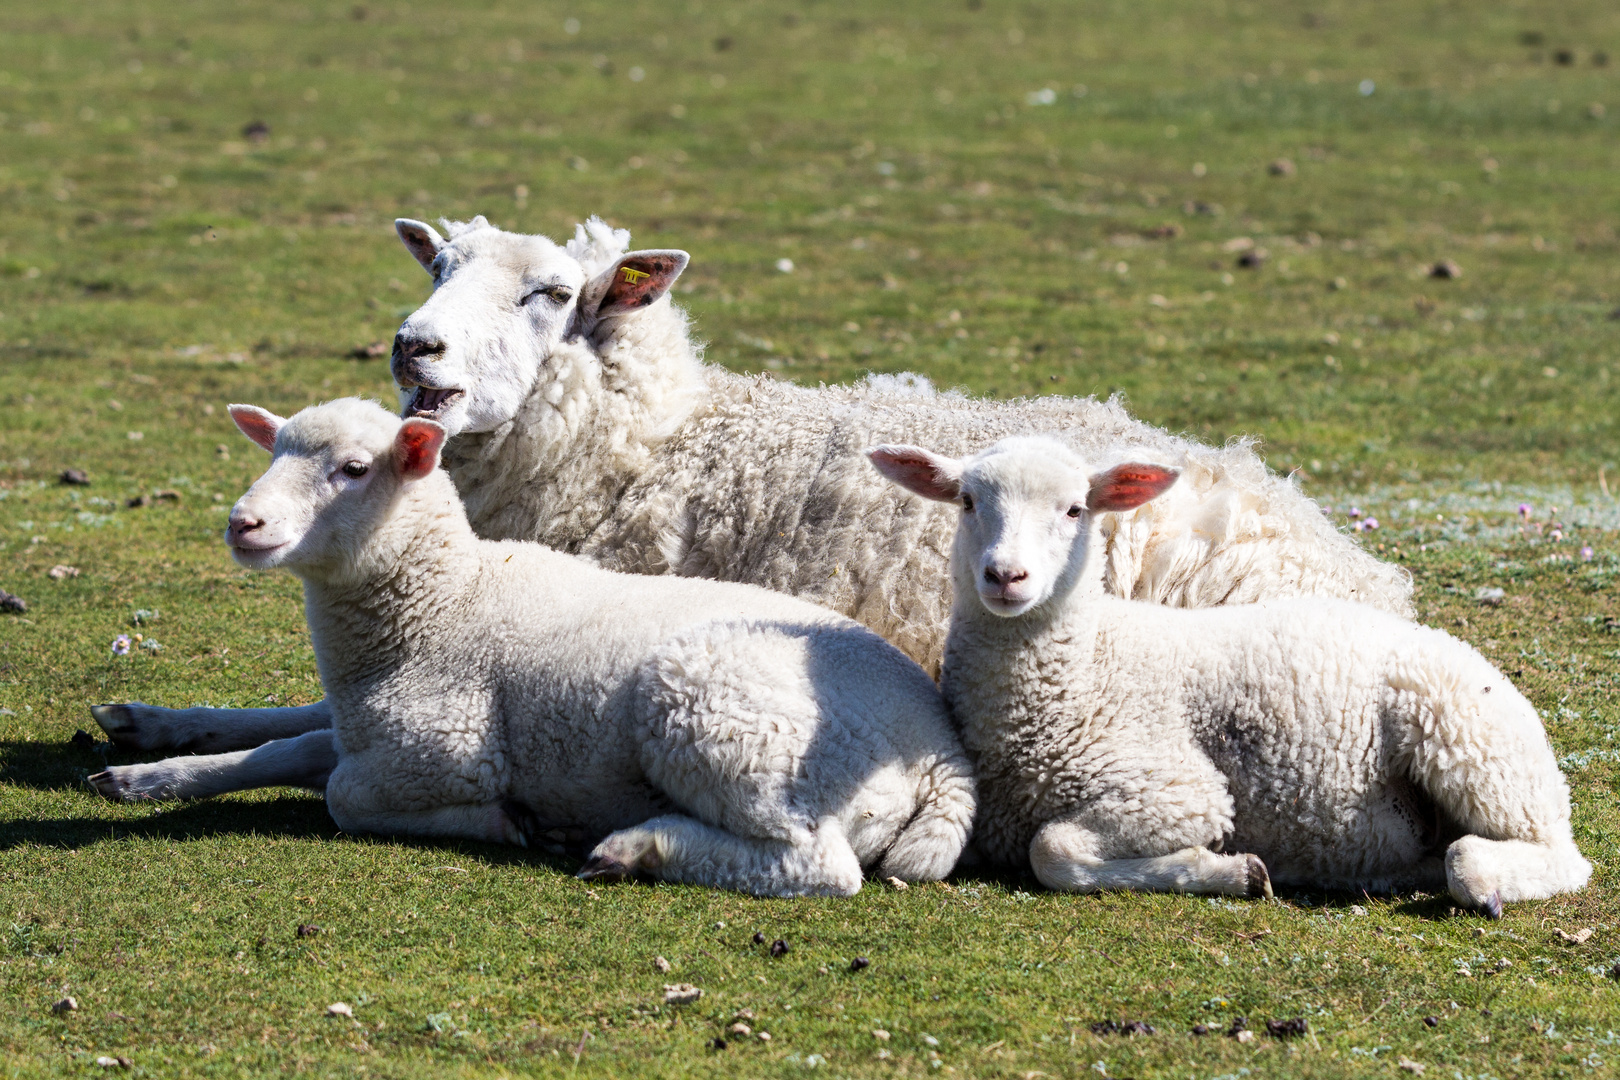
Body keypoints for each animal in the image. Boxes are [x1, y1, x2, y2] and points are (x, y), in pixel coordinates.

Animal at [94, 395, 972, 893]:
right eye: (274, 451)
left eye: (353, 469)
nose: (243, 524)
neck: (445, 599)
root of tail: (943, 754)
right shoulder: (364, 724)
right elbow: (286, 746)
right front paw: (144, 764)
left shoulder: (445, 748)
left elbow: (342, 794)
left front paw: (500, 821)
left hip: (723, 719)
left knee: (817, 865)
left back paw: (637, 848)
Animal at [874, 433, 1594, 919]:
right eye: (968, 501)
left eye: (1076, 509)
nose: (1006, 576)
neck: (1083, 667)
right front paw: (1235, 869)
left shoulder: (1174, 790)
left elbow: (1053, 852)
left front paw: (1225, 868)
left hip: (1475, 744)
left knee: (1538, 855)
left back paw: (1486, 879)